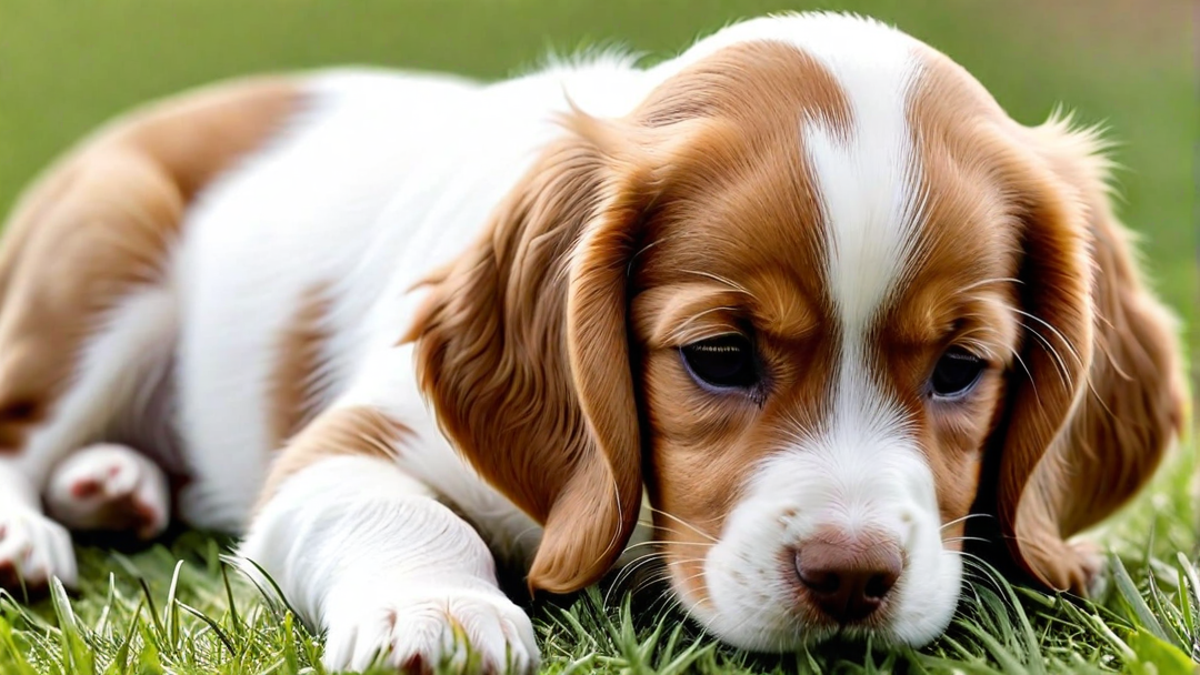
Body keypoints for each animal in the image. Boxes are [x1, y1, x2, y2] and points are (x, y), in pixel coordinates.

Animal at [0, 11, 1180, 672]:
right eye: (719, 358)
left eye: (960, 369)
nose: (852, 579)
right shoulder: (342, 454)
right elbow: (408, 516)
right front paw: (443, 615)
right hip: (102, 258)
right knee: (19, 425)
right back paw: (32, 532)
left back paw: (117, 485)